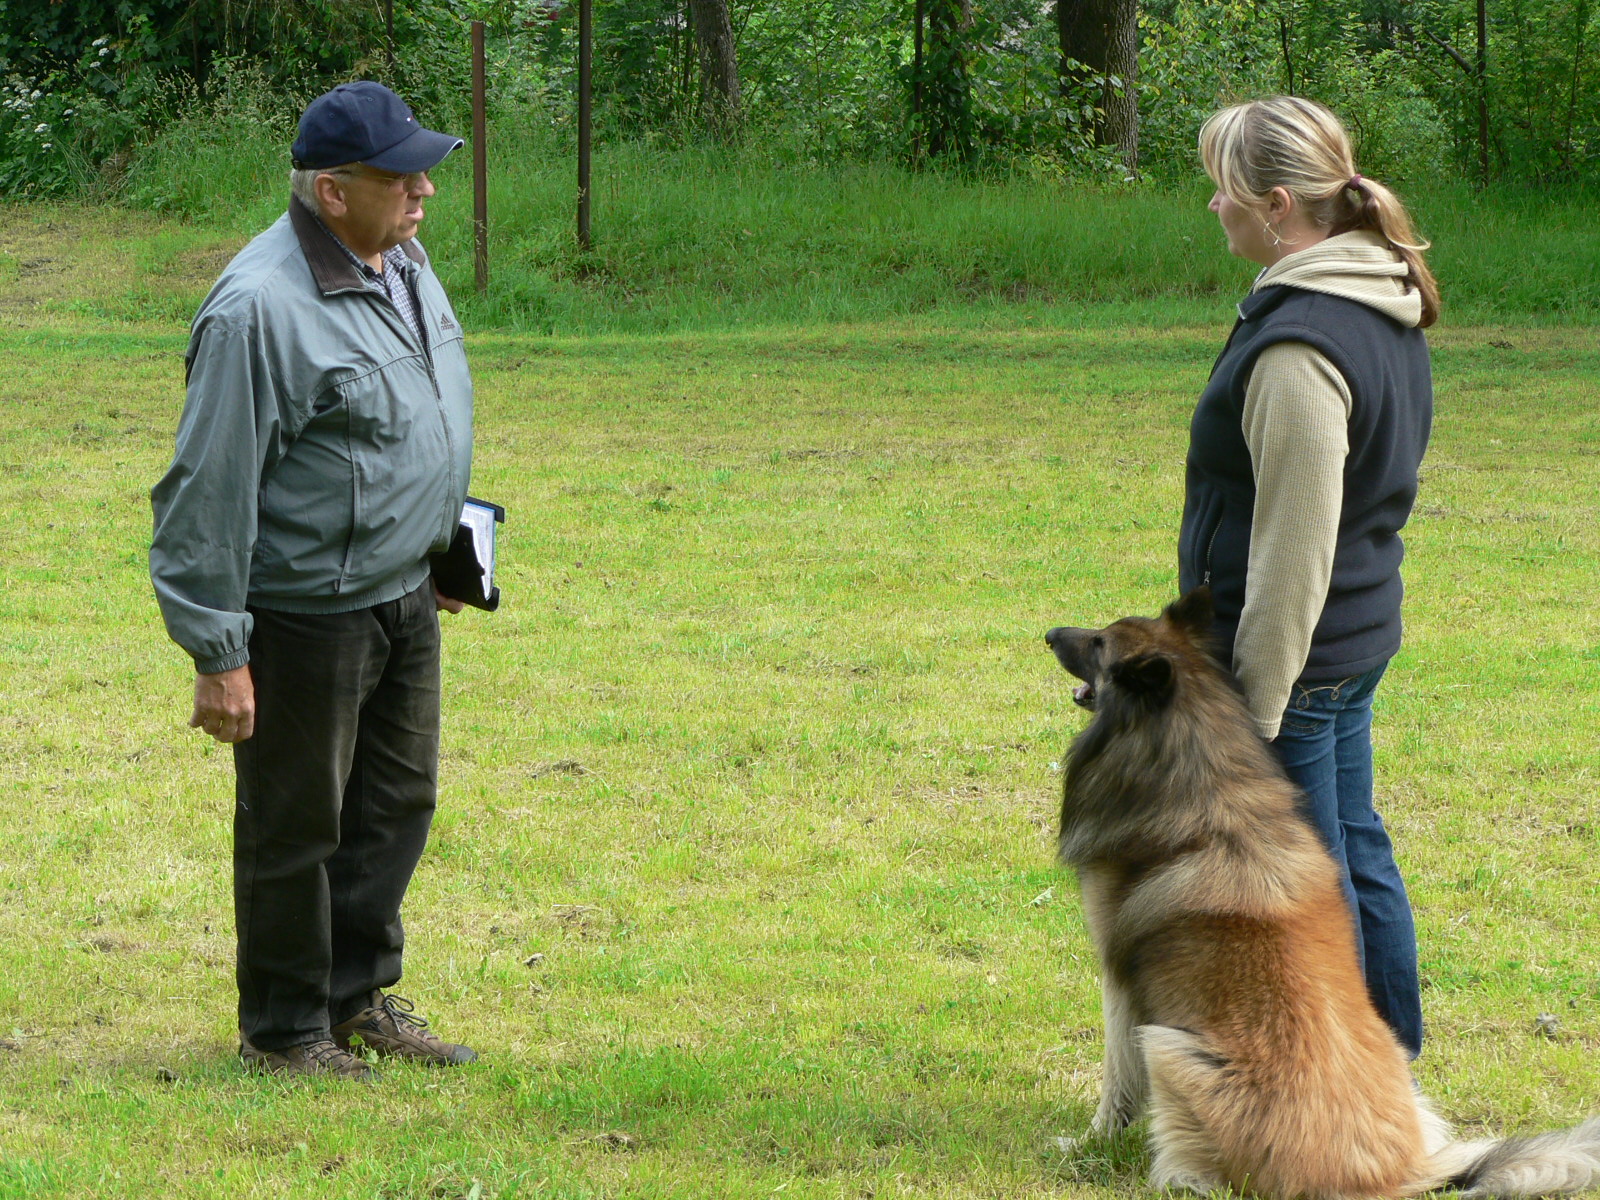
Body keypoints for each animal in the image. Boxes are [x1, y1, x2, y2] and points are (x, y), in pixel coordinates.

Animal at [1043, 588, 1600, 1196]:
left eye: (1099, 643)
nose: (1049, 634)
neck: (1198, 762)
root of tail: (1396, 1176)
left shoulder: (1121, 983)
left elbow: (1116, 1079)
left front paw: (1090, 1142)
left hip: (1170, 1049)